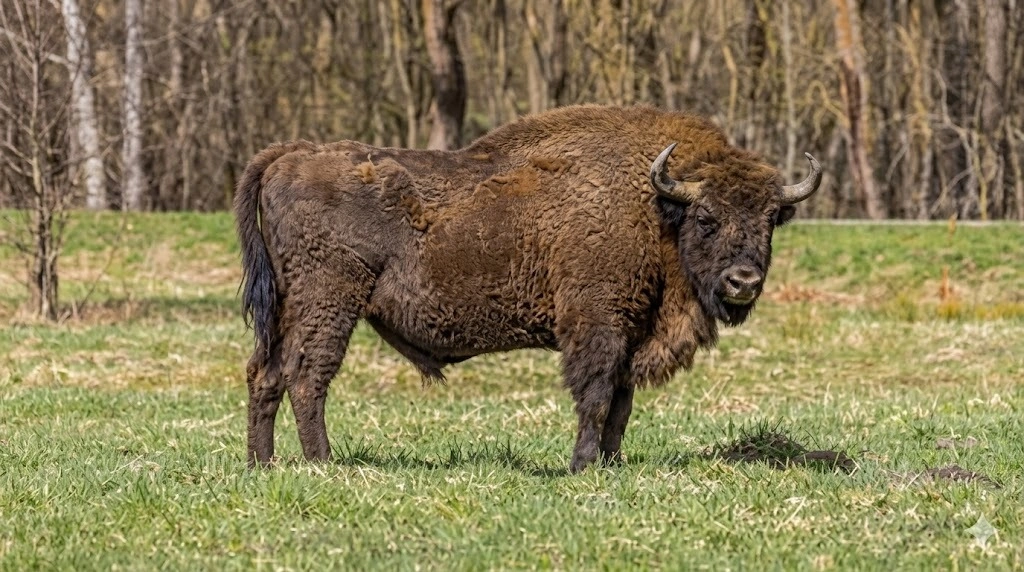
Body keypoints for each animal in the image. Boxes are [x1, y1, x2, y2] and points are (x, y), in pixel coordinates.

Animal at [235, 104, 821, 472]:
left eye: (770, 218)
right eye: (706, 217)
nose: (744, 281)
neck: (654, 208)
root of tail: (294, 154)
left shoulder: (630, 334)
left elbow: (621, 406)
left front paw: (612, 465)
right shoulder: (597, 326)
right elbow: (595, 397)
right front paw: (582, 466)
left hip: (289, 305)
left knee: (266, 373)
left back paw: (263, 465)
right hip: (330, 301)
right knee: (307, 377)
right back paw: (323, 463)